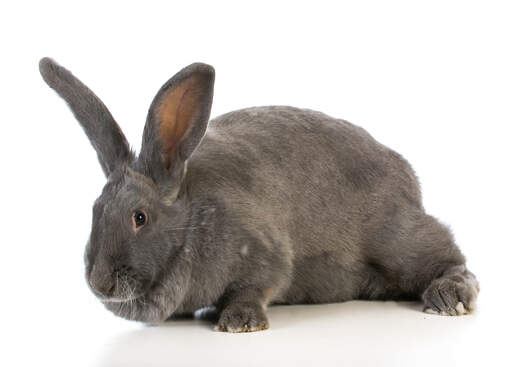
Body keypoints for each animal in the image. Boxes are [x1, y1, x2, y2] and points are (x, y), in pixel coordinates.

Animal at [39, 57, 480, 334]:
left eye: (140, 217)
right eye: (95, 210)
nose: (99, 282)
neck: (190, 219)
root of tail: (407, 176)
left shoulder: (266, 253)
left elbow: (255, 286)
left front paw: (239, 322)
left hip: (396, 238)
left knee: (448, 256)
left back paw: (450, 297)